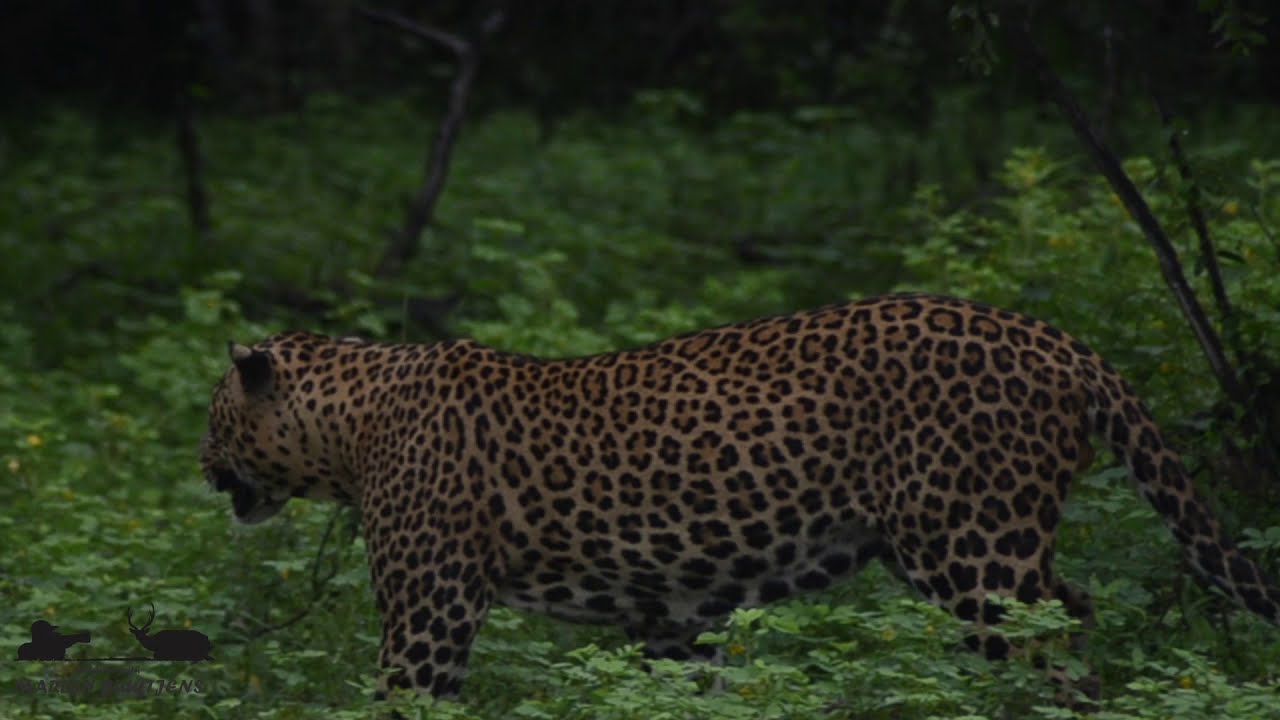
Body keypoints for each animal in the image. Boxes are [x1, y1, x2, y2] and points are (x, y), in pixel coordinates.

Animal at [200, 293, 1280, 699]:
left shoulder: (429, 612)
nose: (203, 470)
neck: (352, 420)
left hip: (972, 549)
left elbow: (400, 699)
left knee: (1055, 648)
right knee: (1081, 614)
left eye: (213, 418)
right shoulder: (673, 620)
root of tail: (1049, 335)